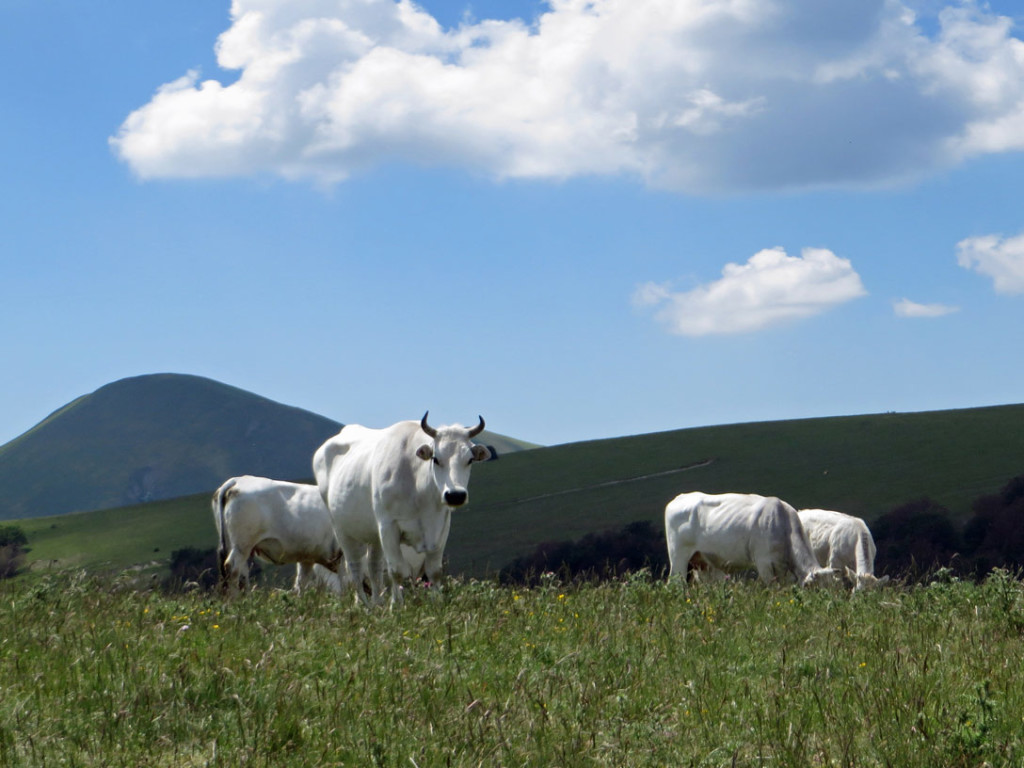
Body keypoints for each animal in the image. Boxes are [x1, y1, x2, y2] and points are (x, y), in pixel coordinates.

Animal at [214, 479, 346, 598]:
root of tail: (236, 481)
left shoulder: (308, 557)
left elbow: (301, 583)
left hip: (235, 545)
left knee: (242, 573)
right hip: (243, 543)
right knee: (232, 568)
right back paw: (237, 600)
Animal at [309, 411, 489, 606]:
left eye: (470, 460)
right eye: (435, 459)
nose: (455, 495)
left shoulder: (441, 527)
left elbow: (434, 571)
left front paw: (437, 604)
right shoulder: (389, 526)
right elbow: (396, 570)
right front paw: (396, 605)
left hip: (374, 534)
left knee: (373, 567)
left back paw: (377, 603)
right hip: (343, 530)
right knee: (355, 568)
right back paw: (362, 604)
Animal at [663, 493, 839, 589]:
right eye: (816, 589)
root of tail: (679, 498)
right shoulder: (764, 562)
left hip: (703, 562)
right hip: (678, 557)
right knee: (674, 583)